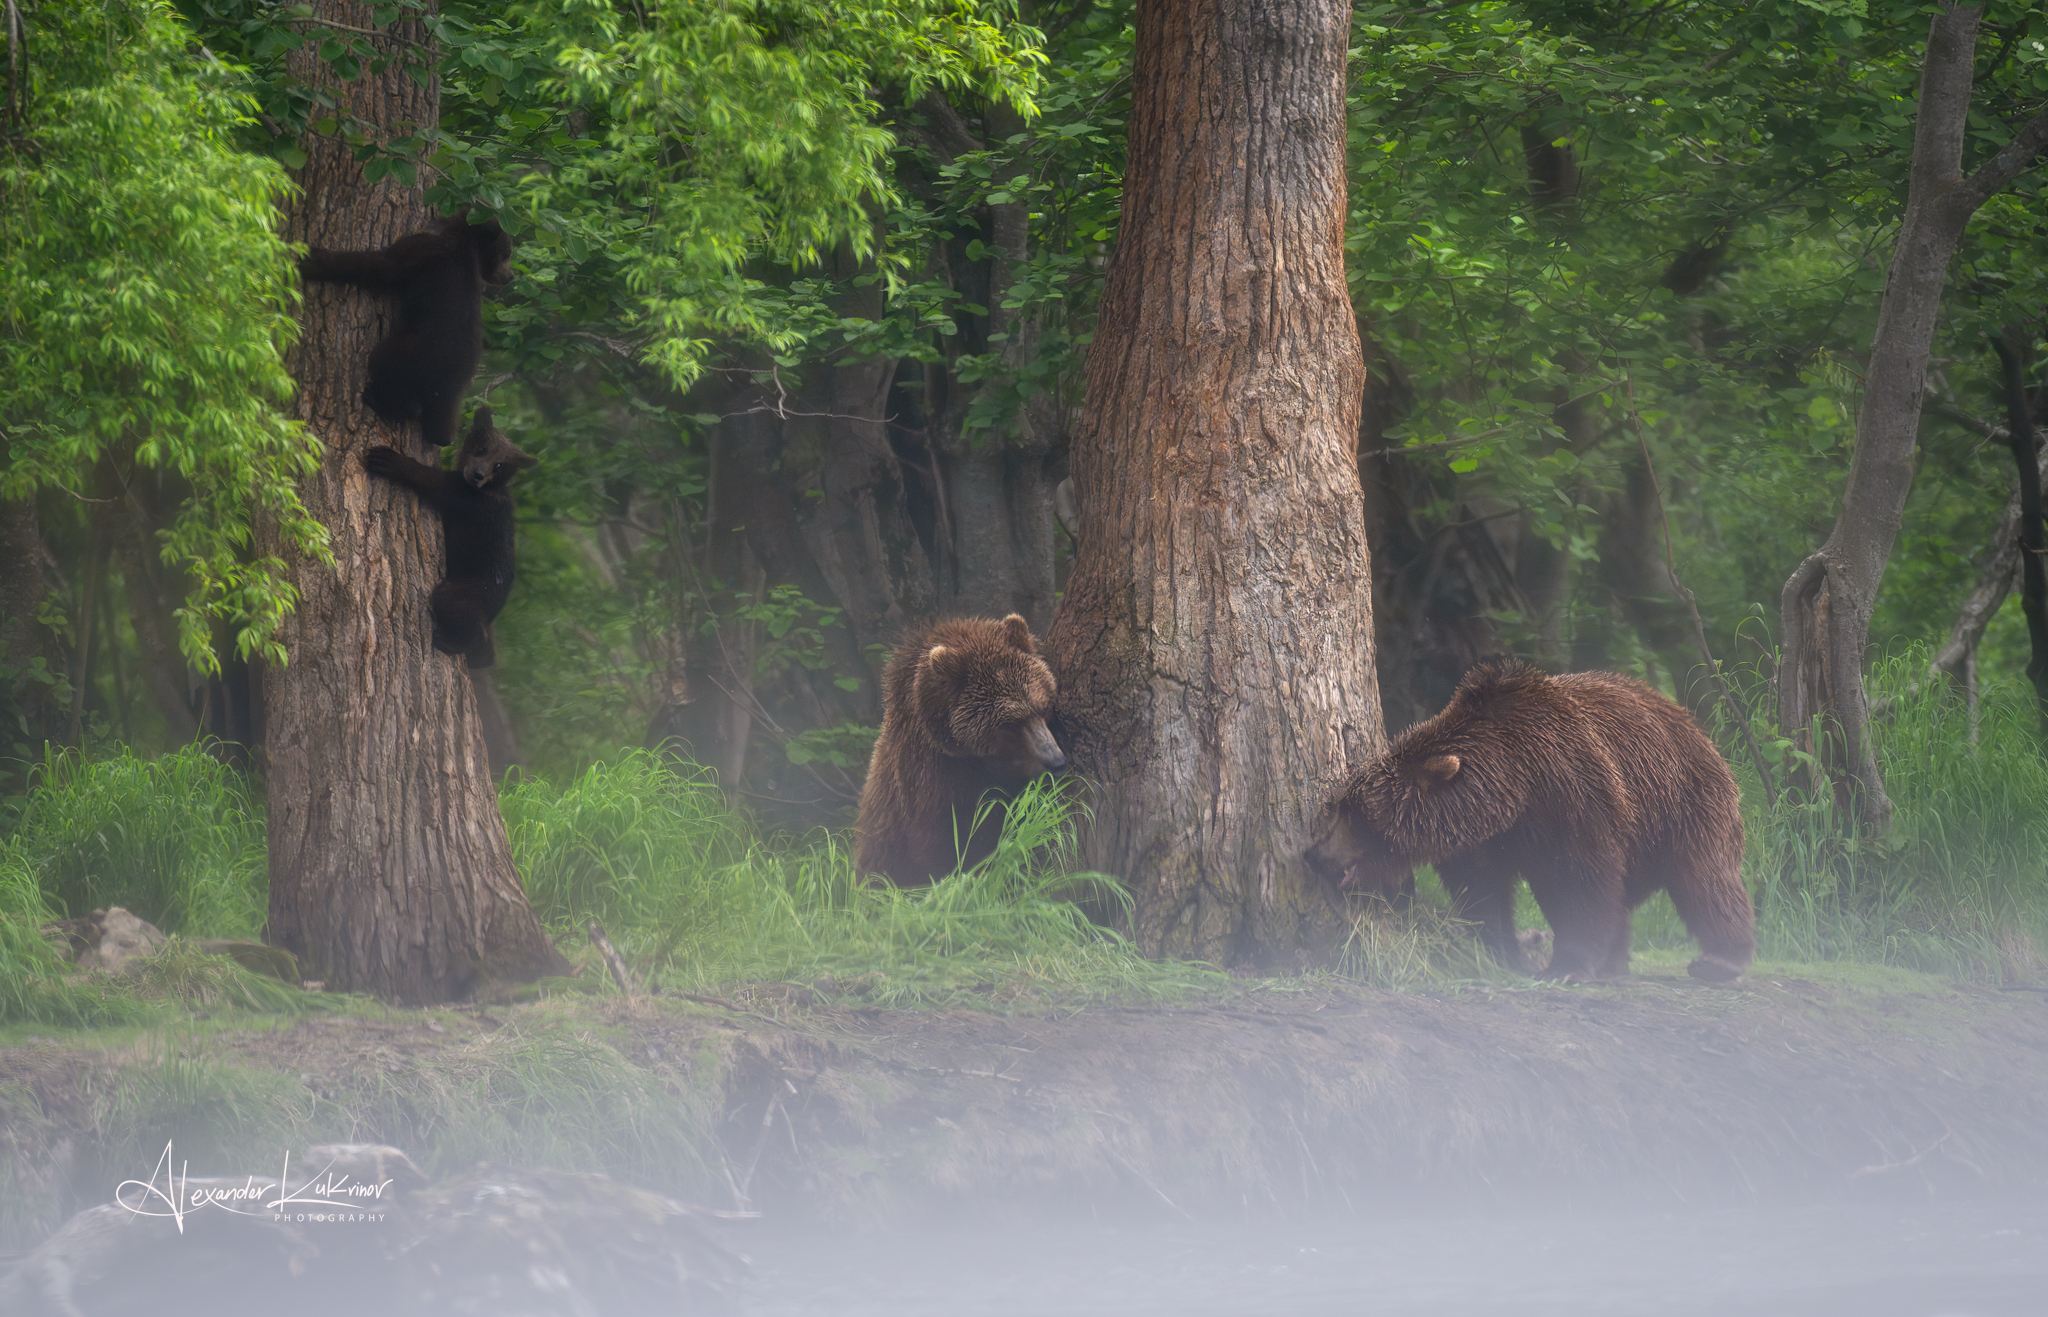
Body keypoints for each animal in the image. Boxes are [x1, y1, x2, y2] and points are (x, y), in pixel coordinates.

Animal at [1302, 663, 1753, 983]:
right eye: (1339, 804)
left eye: (1356, 814)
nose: (1314, 853)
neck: (1512, 789)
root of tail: (1692, 725)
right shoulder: (1478, 840)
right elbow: (1483, 891)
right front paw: (1503, 950)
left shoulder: (1573, 799)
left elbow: (1581, 881)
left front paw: (1566, 965)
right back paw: (1617, 960)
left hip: (1681, 802)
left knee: (1704, 878)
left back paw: (1720, 960)